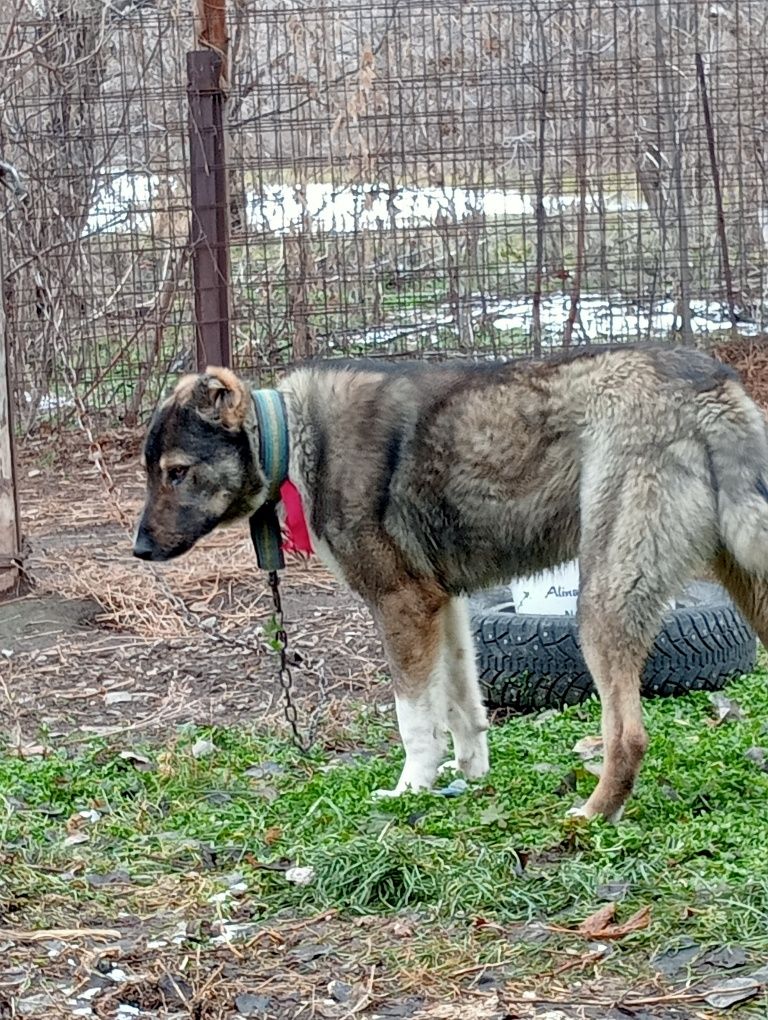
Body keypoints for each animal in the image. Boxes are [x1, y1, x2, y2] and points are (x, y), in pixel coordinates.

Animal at [134, 348, 766, 820]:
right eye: (153, 474)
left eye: (177, 472)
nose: (139, 549)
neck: (295, 437)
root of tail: (708, 388)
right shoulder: (448, 607)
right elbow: (464, 709)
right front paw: (470, 778)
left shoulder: (401, 607)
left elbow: (415, 721)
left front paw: (411, 789)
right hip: (747, 586)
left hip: (601, 605)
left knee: (628, 736)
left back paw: (592, 814)